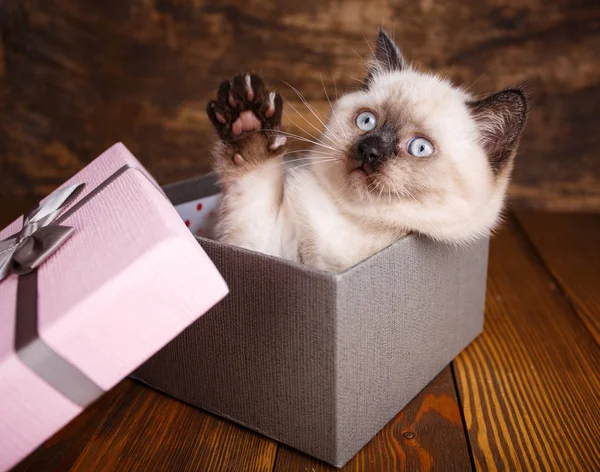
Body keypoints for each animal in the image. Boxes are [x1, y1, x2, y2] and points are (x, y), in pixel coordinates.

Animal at [207, 29, 528, 272]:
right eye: (366, 121)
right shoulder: (259, 248)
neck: (359, 225)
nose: (369, 150)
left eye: (420, 147)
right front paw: (246, 119)